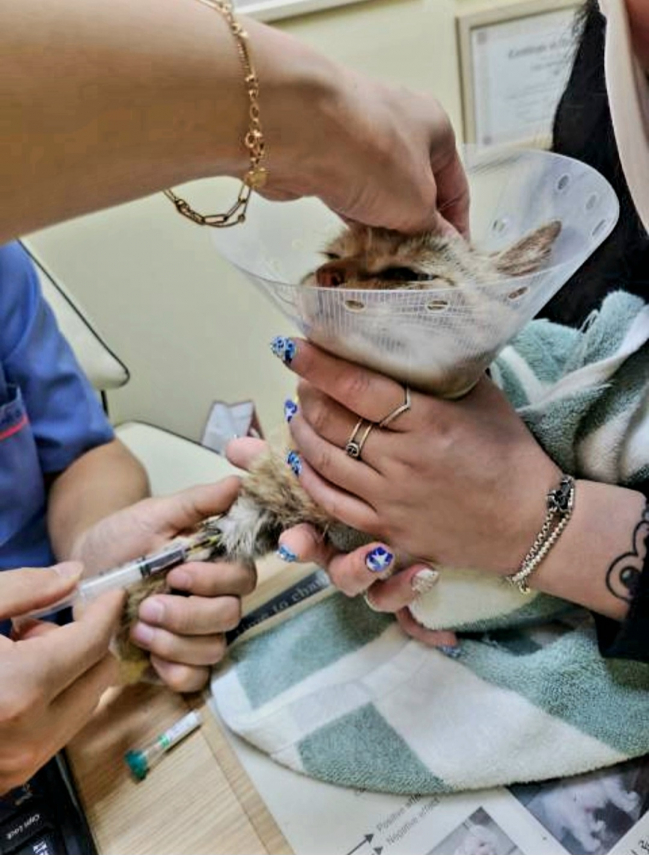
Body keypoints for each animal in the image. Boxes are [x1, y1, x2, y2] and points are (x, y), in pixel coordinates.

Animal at [115, 221, 561, 682]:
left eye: (407, 274)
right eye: (332, 257)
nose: (327, 276)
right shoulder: (270, 491)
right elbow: (214, 533)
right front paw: (145, 611)